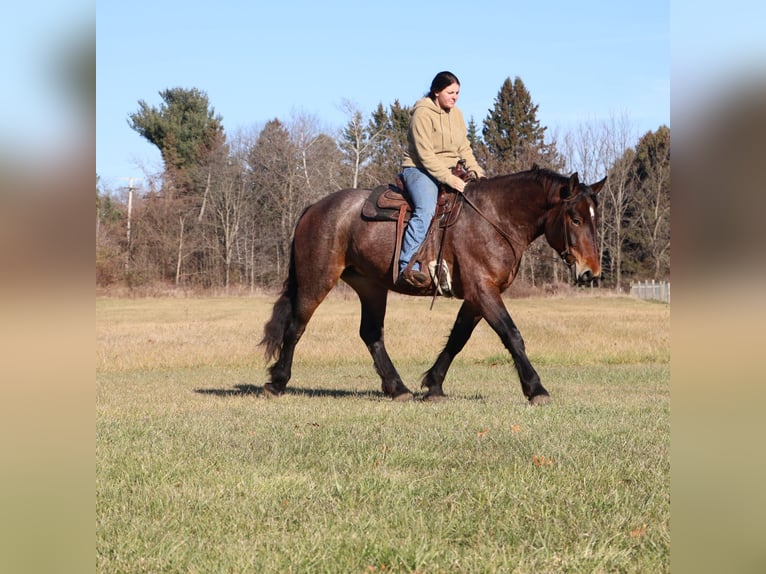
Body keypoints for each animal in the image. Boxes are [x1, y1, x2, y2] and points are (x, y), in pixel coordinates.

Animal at [260, 165, 606, 404]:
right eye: (575, 219)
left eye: (595, 219)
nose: (591, 272)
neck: (494, 218)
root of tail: (314, 208)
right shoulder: (484, 291)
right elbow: (512, 335)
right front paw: (536, 388)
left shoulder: (476, 297)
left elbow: (457, 339)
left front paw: (434, 385)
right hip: (317, 279)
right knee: (296, 327)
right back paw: (277, 382)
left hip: (371, 287)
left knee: (371, 334)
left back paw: (397, 388)